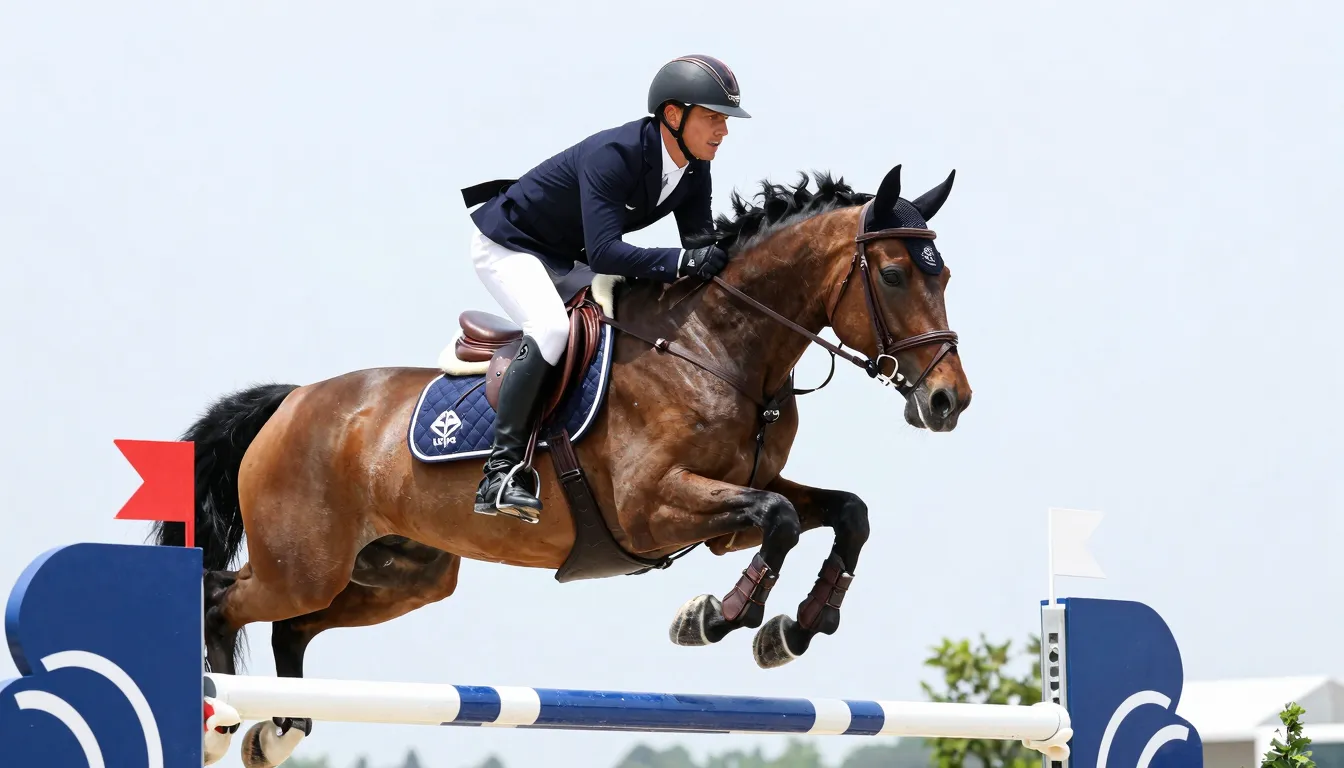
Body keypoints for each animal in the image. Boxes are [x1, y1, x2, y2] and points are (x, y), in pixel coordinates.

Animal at [152, 162, 971, 746]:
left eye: (945, 274)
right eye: (894, 274)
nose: (948, 402)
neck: (721, 348)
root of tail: (292, 402)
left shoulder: (728, 513)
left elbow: (840, 514)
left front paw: (792, 631)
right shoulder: (651, 508)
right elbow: (779, 520)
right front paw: (714, 617)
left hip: (404, 573)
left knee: (289, 627)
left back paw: (281, 729)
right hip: (304, 562)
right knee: (222, 599)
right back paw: (224, 724)